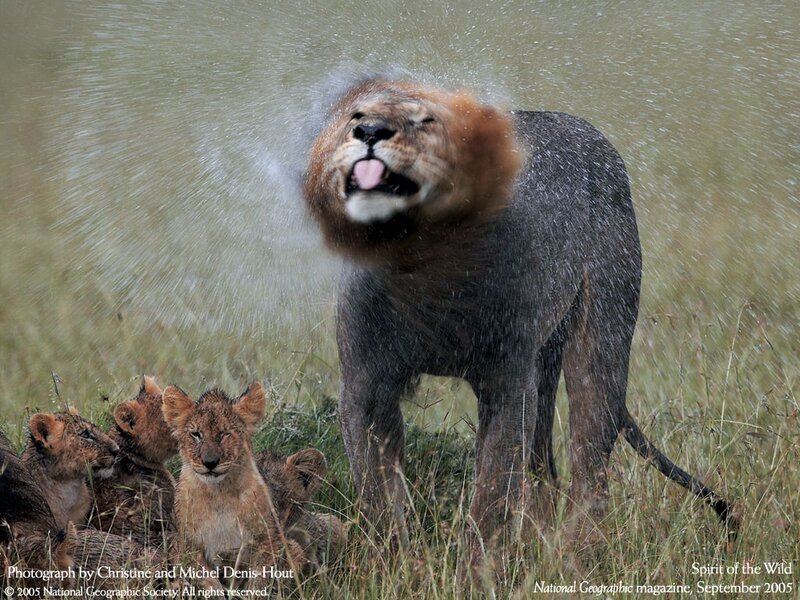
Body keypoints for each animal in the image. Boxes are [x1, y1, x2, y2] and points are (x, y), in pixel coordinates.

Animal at [302, 78, 737, 559]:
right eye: (357, 115)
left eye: (426, 121)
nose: (371, 132)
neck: (427, 275)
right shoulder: (365, 385)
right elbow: (378, 491)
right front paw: (393, 560)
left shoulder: (508, 385)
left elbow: (491, 493)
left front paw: (477, 565)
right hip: (544, 365)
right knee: (545, 468)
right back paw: (539, 542)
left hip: (600, 342)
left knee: (590, 463)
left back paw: (573, 554)